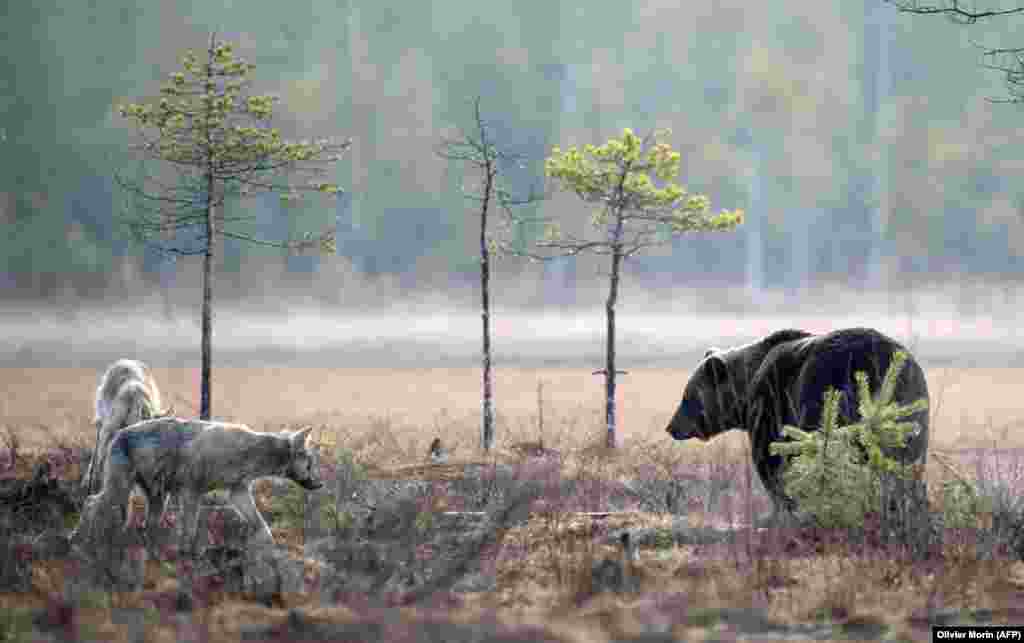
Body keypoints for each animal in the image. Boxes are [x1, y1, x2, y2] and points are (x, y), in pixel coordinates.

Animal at [74, 417, 321, 552]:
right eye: (310, 464)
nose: (320, 485)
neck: (249, 452)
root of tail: (117, 434)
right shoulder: (192, 492)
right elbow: (190, 531)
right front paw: (187, 556)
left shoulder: (237, 493)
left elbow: (262, 526)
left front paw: (274, 550)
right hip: (119, 491)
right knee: (90, 503)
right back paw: (78, 540)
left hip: (156, 501)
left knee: (144, 526)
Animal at [663, 329, 929, 520]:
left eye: (687, 396)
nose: (671, 426)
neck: (746, 392)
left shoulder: (771, 404)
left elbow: (770, 459)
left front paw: (782, 508)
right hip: (911, 402)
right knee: (908, 463)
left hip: (828, 392)